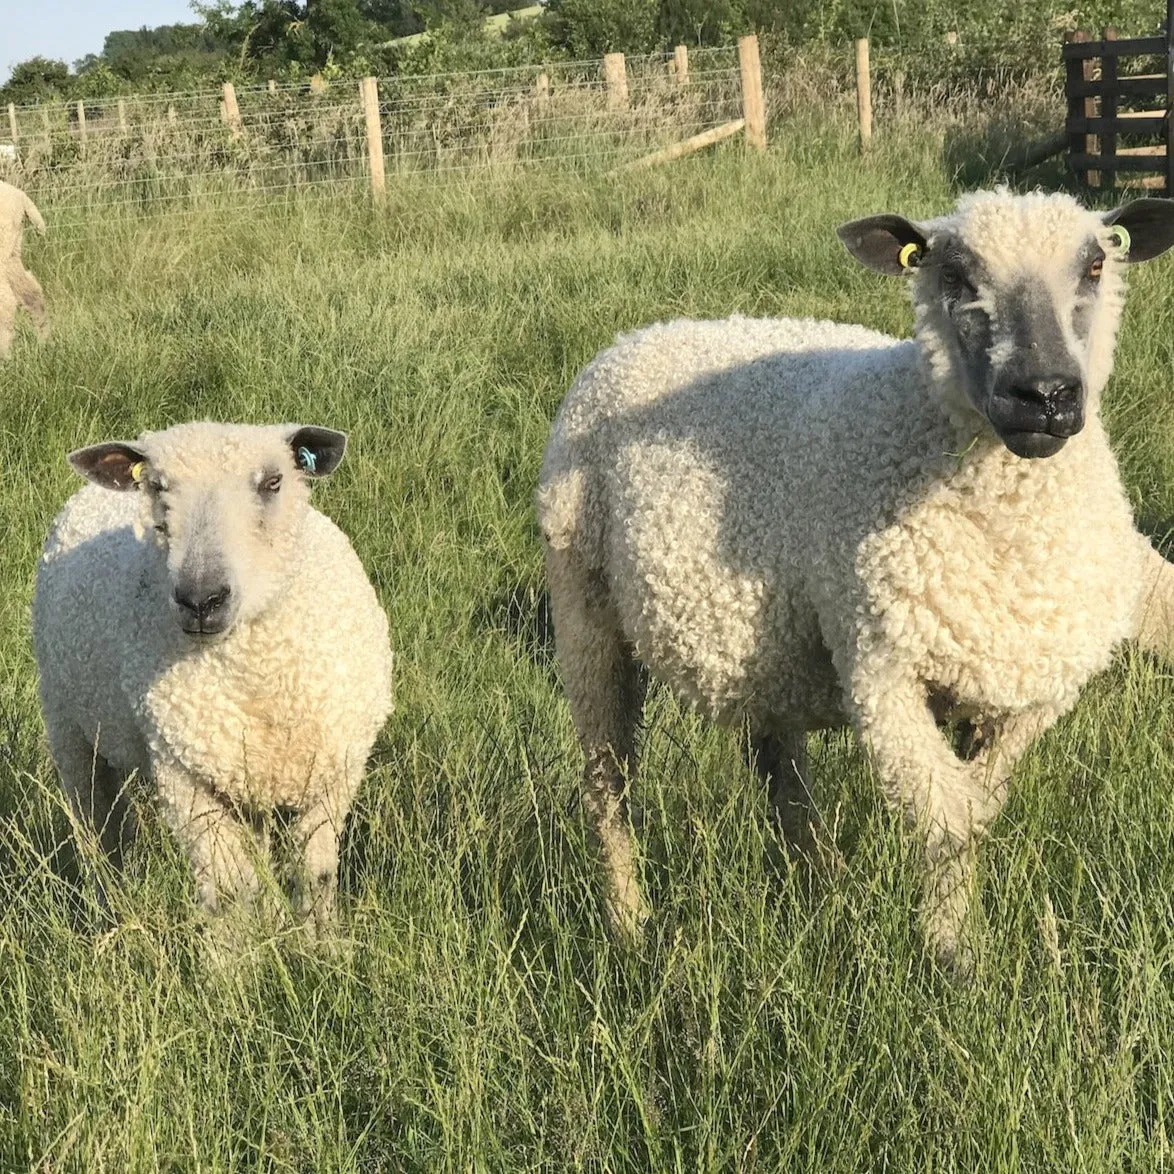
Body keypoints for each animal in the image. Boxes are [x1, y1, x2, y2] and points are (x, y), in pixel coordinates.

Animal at [0, 178, 47, 356]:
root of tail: (20, 196)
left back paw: (5, 354)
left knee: (6, 300)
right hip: (11, 251)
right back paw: (44, 342)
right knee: (32, 294)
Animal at [32, 422, 394, 934]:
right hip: (68, 724)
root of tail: (89, 493)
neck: (262, 673)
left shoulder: (335, 774)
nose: (200, 599)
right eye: (156, 486)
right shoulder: (185, 778)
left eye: (273, 482)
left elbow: (314, 877)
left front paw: (318, 943)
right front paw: (237, 956)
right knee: (99, 830)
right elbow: (226, 893)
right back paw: (109, 915)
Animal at [540, 190, 1174, 972]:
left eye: (1095, 265)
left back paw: (817, 887)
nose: (1046, 394)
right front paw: (953, 957)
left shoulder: (1029, 691)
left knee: (779, 772)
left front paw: (946, 938)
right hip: (584, 611)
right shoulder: (882, 671)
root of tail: (643, 334)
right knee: (609, 783)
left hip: (764, 652)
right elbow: (947, 819)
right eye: (954, 275)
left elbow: (977, 805)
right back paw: (630, 923)